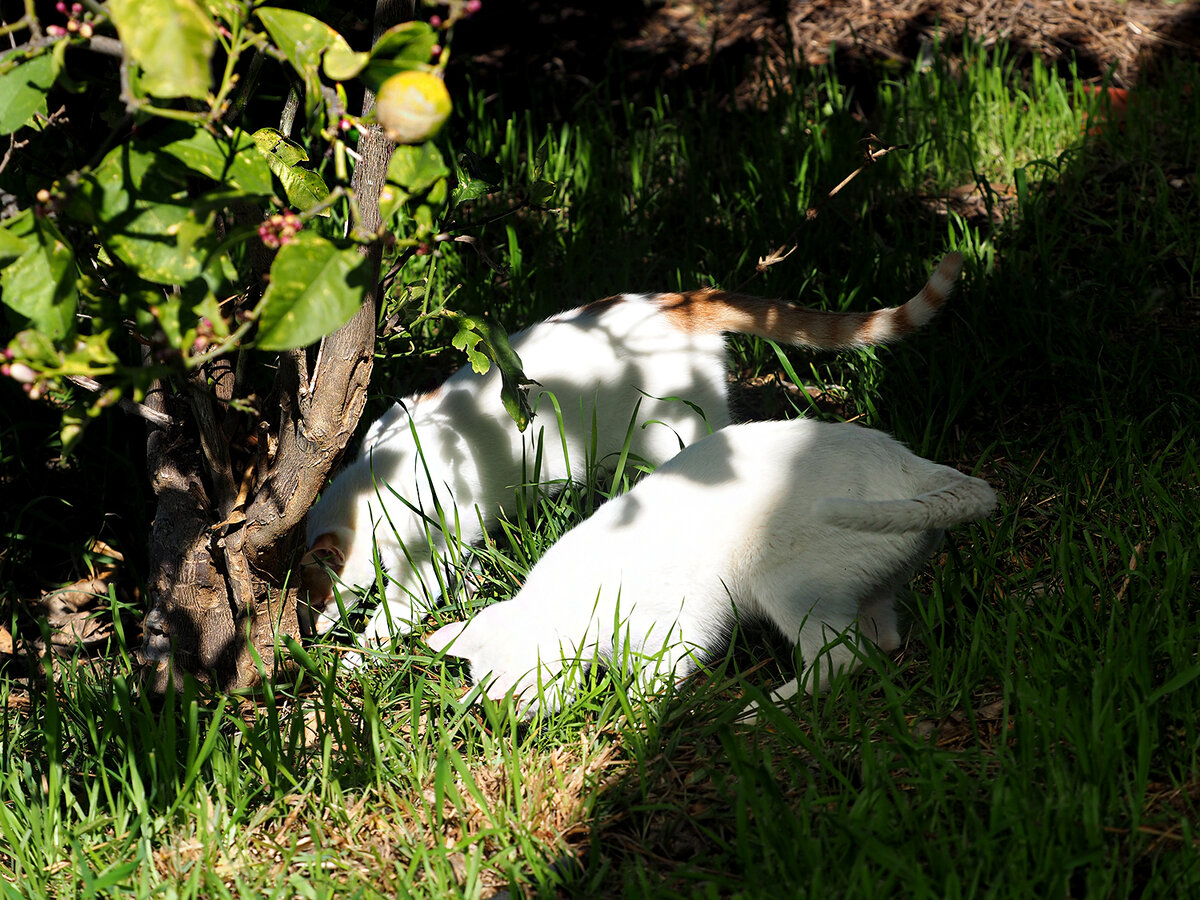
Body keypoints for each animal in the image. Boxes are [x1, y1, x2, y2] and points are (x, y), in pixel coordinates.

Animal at [302, 254, 964, 648]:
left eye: (313, 594)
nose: (304, 629)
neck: (372, 486)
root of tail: (683, 301)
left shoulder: (436, 541)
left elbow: (404, 602)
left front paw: (358, 653)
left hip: (676, 431)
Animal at [424, 420, 993, 715]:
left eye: (515, 688)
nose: (508, 719)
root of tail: (912, 465)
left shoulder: (680, 626)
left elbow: (655, 679)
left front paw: (636, 720)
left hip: (785, 583)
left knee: (841, 657)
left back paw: (763, 707)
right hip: (865, 585)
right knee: (883, 642)